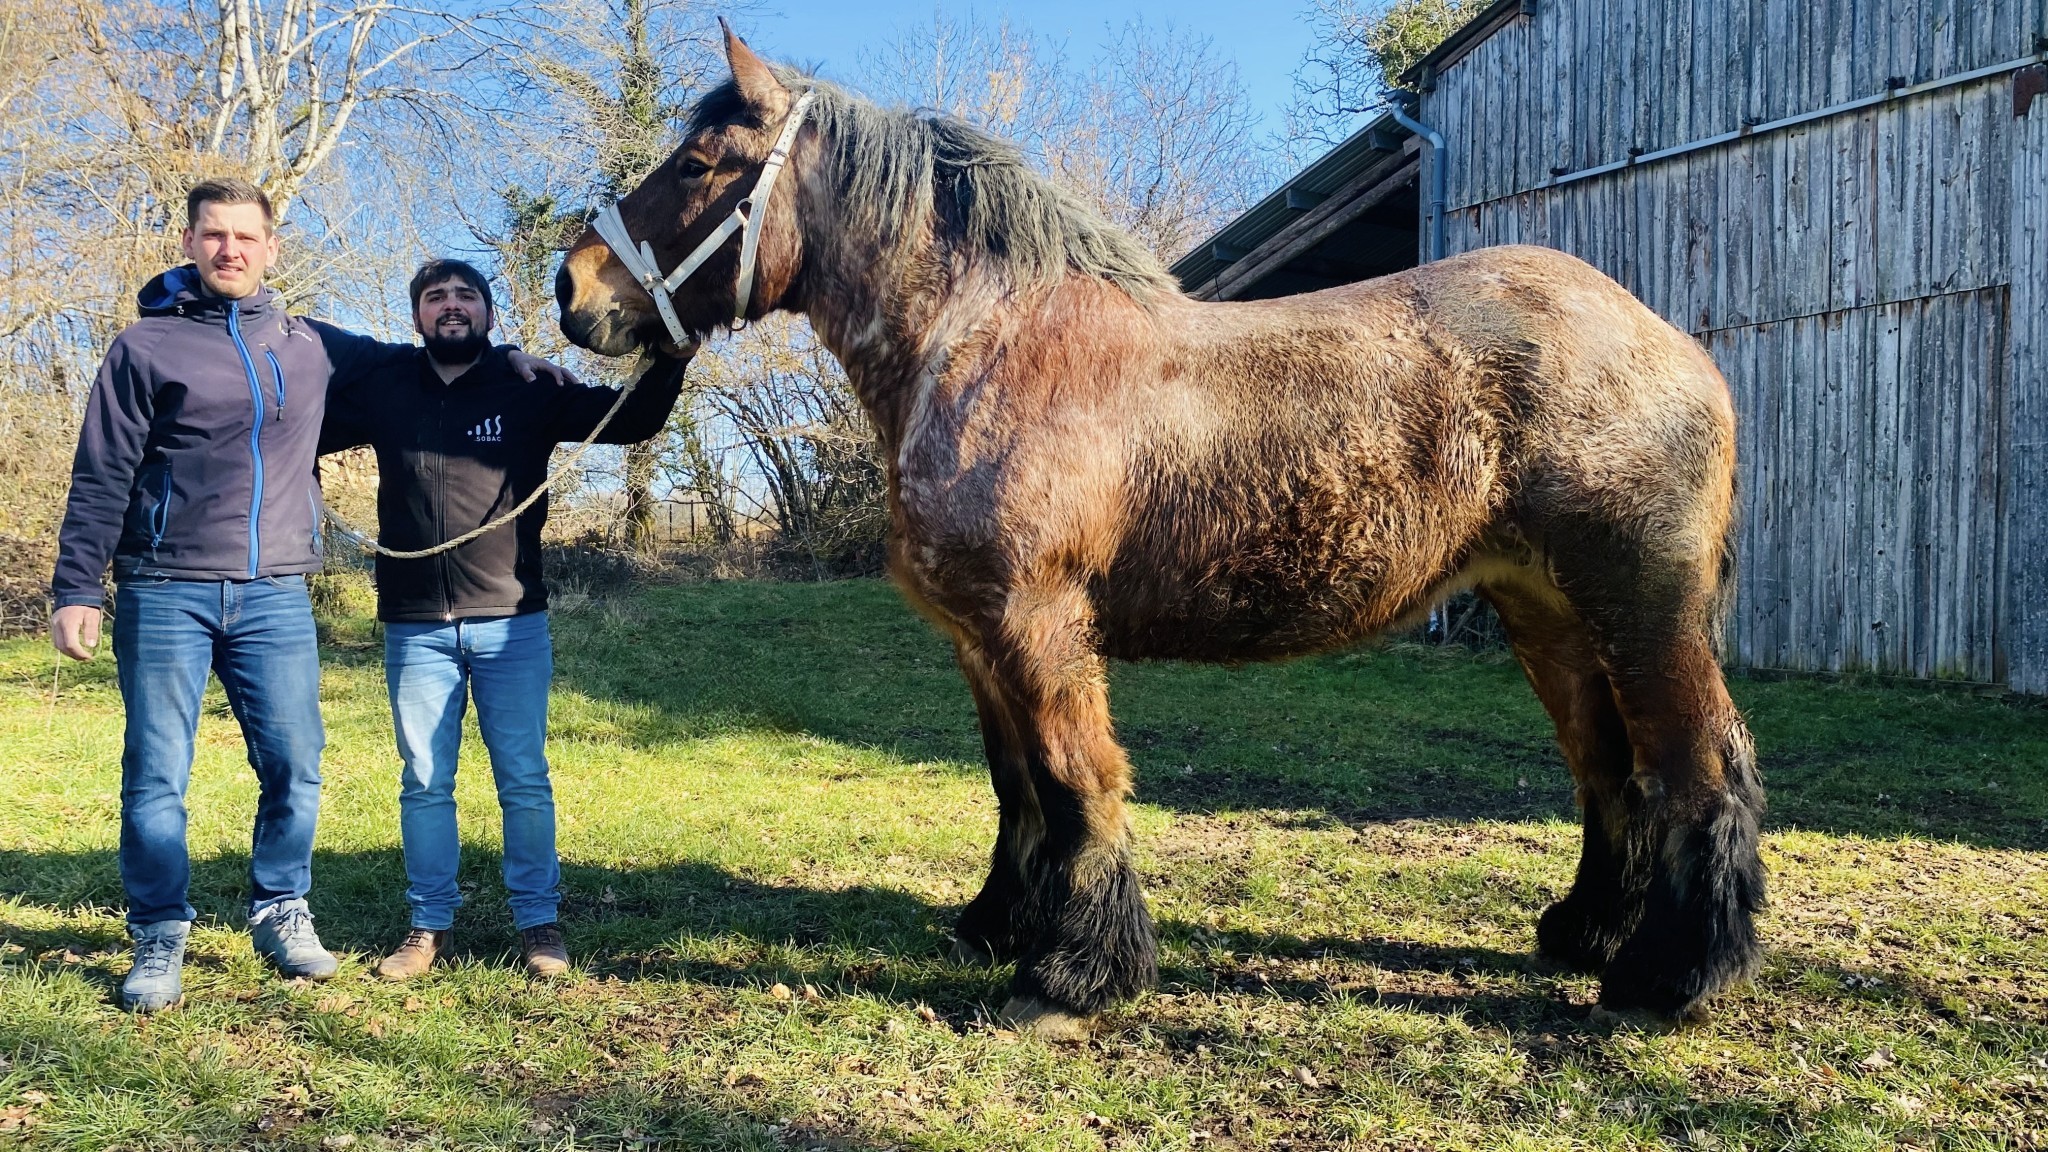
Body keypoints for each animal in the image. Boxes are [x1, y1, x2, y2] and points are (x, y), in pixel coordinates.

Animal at [557, 26, 1761, 1037]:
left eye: (700, 163)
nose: (573, 290)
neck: (987, 344)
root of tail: (1671, 345)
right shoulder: (977, 637)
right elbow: (1018, 787)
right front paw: (1001, 925)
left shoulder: (1036, 623)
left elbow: (1078, 780)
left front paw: (1074, 976)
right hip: (1546, 609)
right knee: (1608, 769)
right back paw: (1587, 932)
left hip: (1641, 607)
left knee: (1699, 765)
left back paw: (1671, 976)